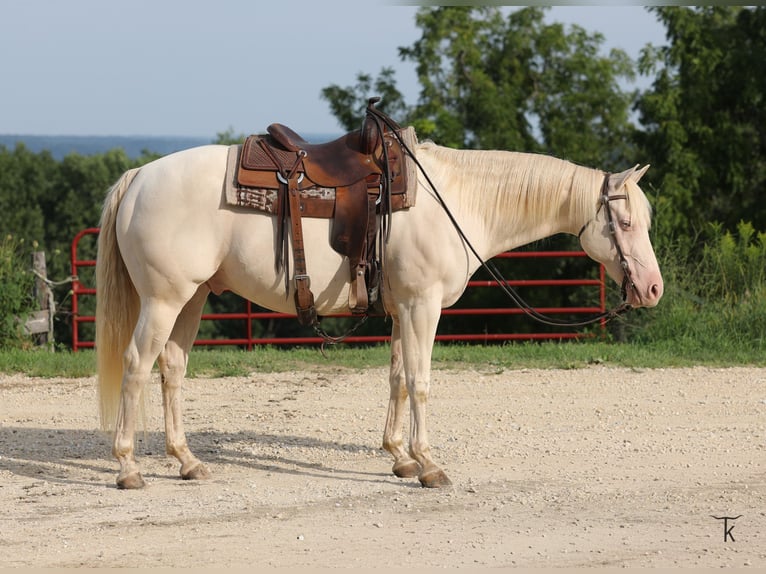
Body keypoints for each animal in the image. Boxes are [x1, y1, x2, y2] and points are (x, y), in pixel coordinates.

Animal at [95, 139, 663, 489]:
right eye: (625, 222)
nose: (653, 288)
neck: (456, 201)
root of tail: (139, 177)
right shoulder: (422, 305)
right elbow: (420, 381)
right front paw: (429, 464)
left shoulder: (401, 307)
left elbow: (396, 378)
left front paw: (400, 457)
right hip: (164, 299)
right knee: (137, 365)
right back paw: (127, 467)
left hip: (190, 299)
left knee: (172, 369)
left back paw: (188, 462)